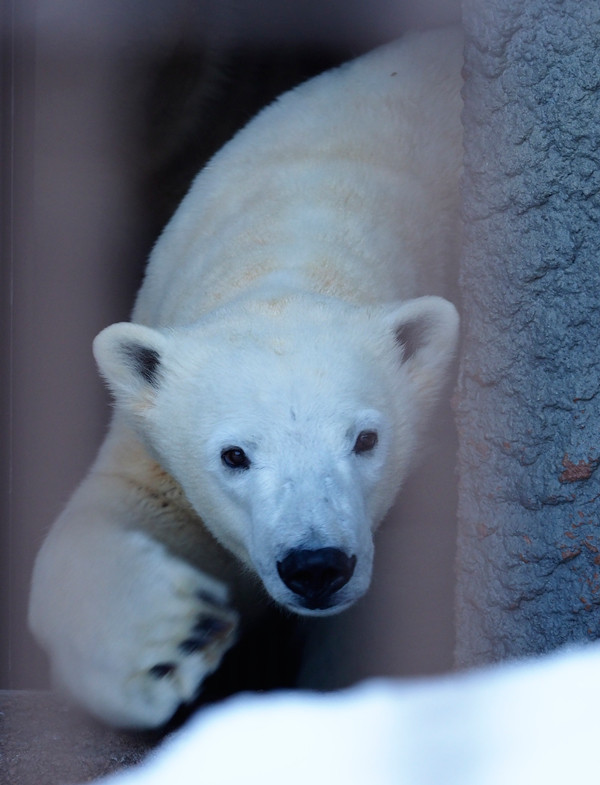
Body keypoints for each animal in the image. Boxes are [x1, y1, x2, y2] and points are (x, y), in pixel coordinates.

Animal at [28, 26, 462, 728]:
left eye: (366, 439)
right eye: (234, 455)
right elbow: (124, 505)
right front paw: (177, 636)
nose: (316, 565)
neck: (301, 237)